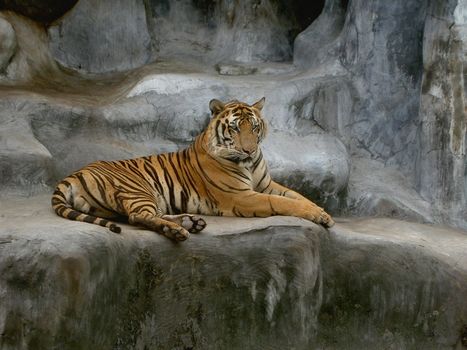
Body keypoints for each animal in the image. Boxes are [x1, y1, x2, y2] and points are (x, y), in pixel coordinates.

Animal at [53, 98, 334, 241]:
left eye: (254, 127)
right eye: (235, 128)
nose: (249, 150)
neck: (249, 164)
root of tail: (72, 175)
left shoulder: (266, 184)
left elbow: (297, 196)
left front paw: (323, 213)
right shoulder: (241, 196)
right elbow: (282, 203)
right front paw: (318, 215)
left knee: (143, 215)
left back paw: (191, 222)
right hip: (137, 189)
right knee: (138, 217)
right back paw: (178, 231)